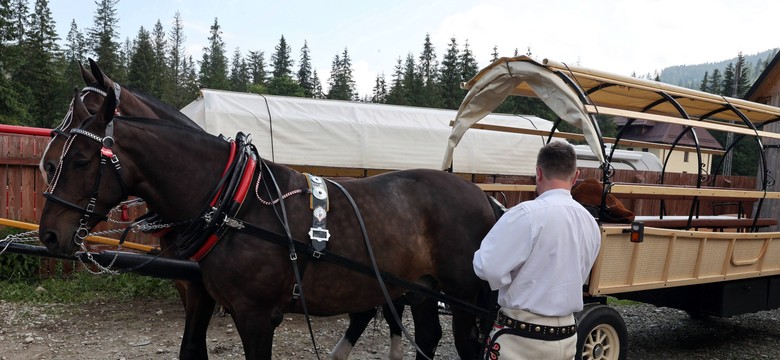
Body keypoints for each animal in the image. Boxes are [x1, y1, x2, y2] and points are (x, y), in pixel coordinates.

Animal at [39, 86, 494, 358]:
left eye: (80, 160)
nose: (49, 233)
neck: (234, 206)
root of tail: (483, 196)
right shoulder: (201, 295)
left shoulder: (255, 315)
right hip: (420, 288)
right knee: (427, 335)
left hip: (460, 295)